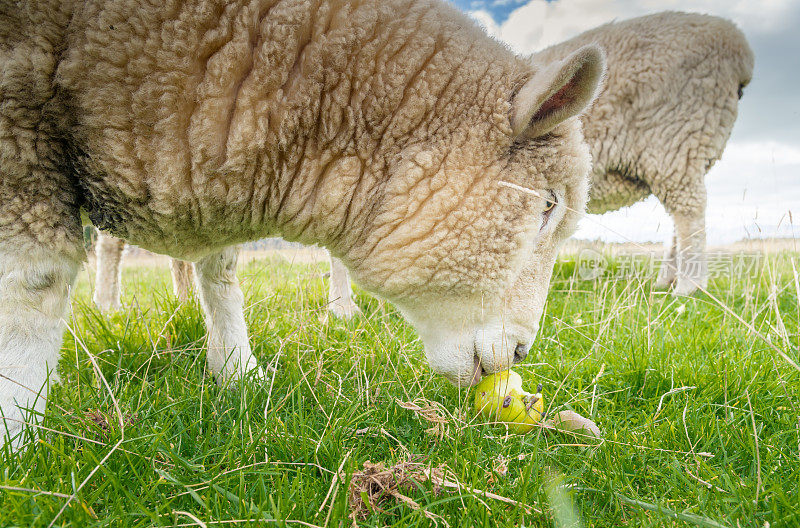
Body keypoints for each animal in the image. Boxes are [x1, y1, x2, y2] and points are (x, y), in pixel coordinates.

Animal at [0, 0, 600, 448]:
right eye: (548, 205)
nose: (521, 354)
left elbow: (221, 268)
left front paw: (238, 370)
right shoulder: (21, 119)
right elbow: (34, 281)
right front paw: (19, 435)